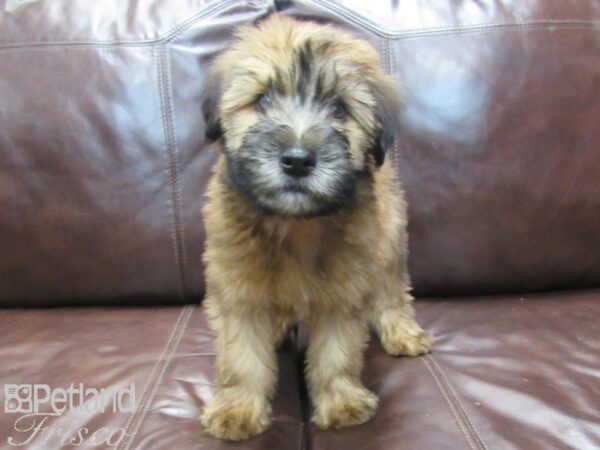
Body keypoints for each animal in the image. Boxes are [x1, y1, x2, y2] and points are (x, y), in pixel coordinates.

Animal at [200, 14, 432, 442]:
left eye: (339, 109)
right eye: (262, 100)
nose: (297, 160)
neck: (294, 224)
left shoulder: (344, 289)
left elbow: (336, 352)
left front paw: (341, 402)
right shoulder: (238, 290)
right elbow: (242, 356)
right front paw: (238, 408)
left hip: (390, 240)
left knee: (391, 293)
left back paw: (401, 330)